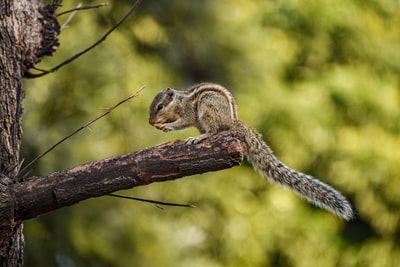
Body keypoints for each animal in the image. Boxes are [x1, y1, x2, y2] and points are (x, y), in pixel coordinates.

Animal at [149, 82, 354, 221]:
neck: (178, 102)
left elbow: (182, 123)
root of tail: (232, 122)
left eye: (160, 106)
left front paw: (167, 126)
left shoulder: (188, 113)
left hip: (207, 108)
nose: (151, 122)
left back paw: (199, 138)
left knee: (213, 131)